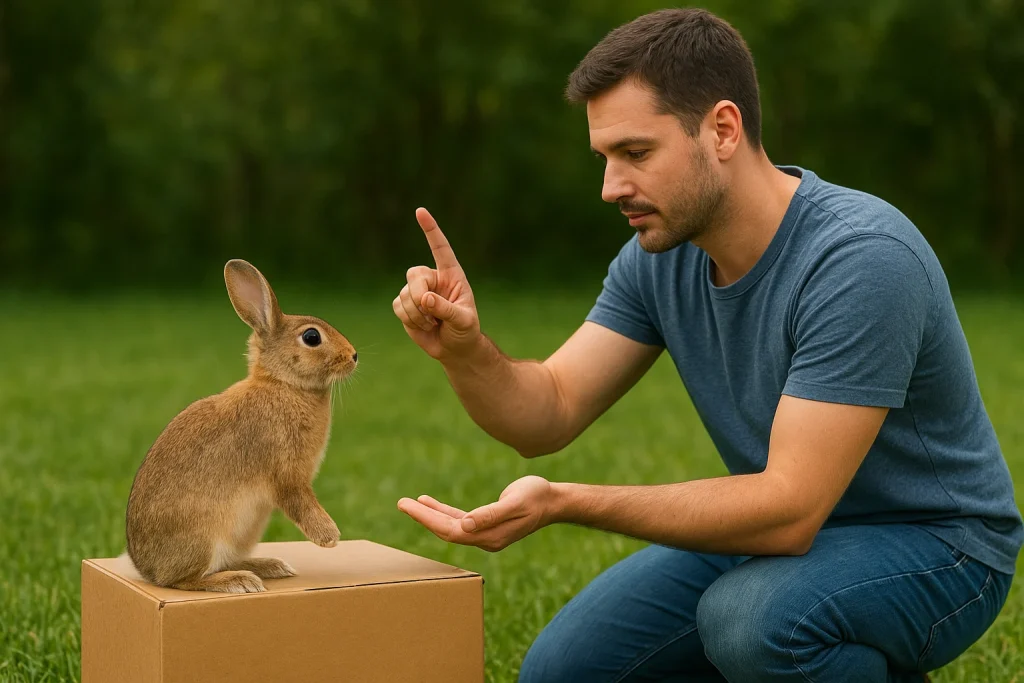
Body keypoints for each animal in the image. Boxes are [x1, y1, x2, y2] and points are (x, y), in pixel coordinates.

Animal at [123, 259, 358, 594]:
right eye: (312, 337)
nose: (354, 355)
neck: (284, 384)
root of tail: (147, 571)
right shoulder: (287, 473)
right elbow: (299, 501)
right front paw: (330, 536)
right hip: (205, 538)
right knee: (184, 581)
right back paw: (239, 581)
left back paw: (269, 566)